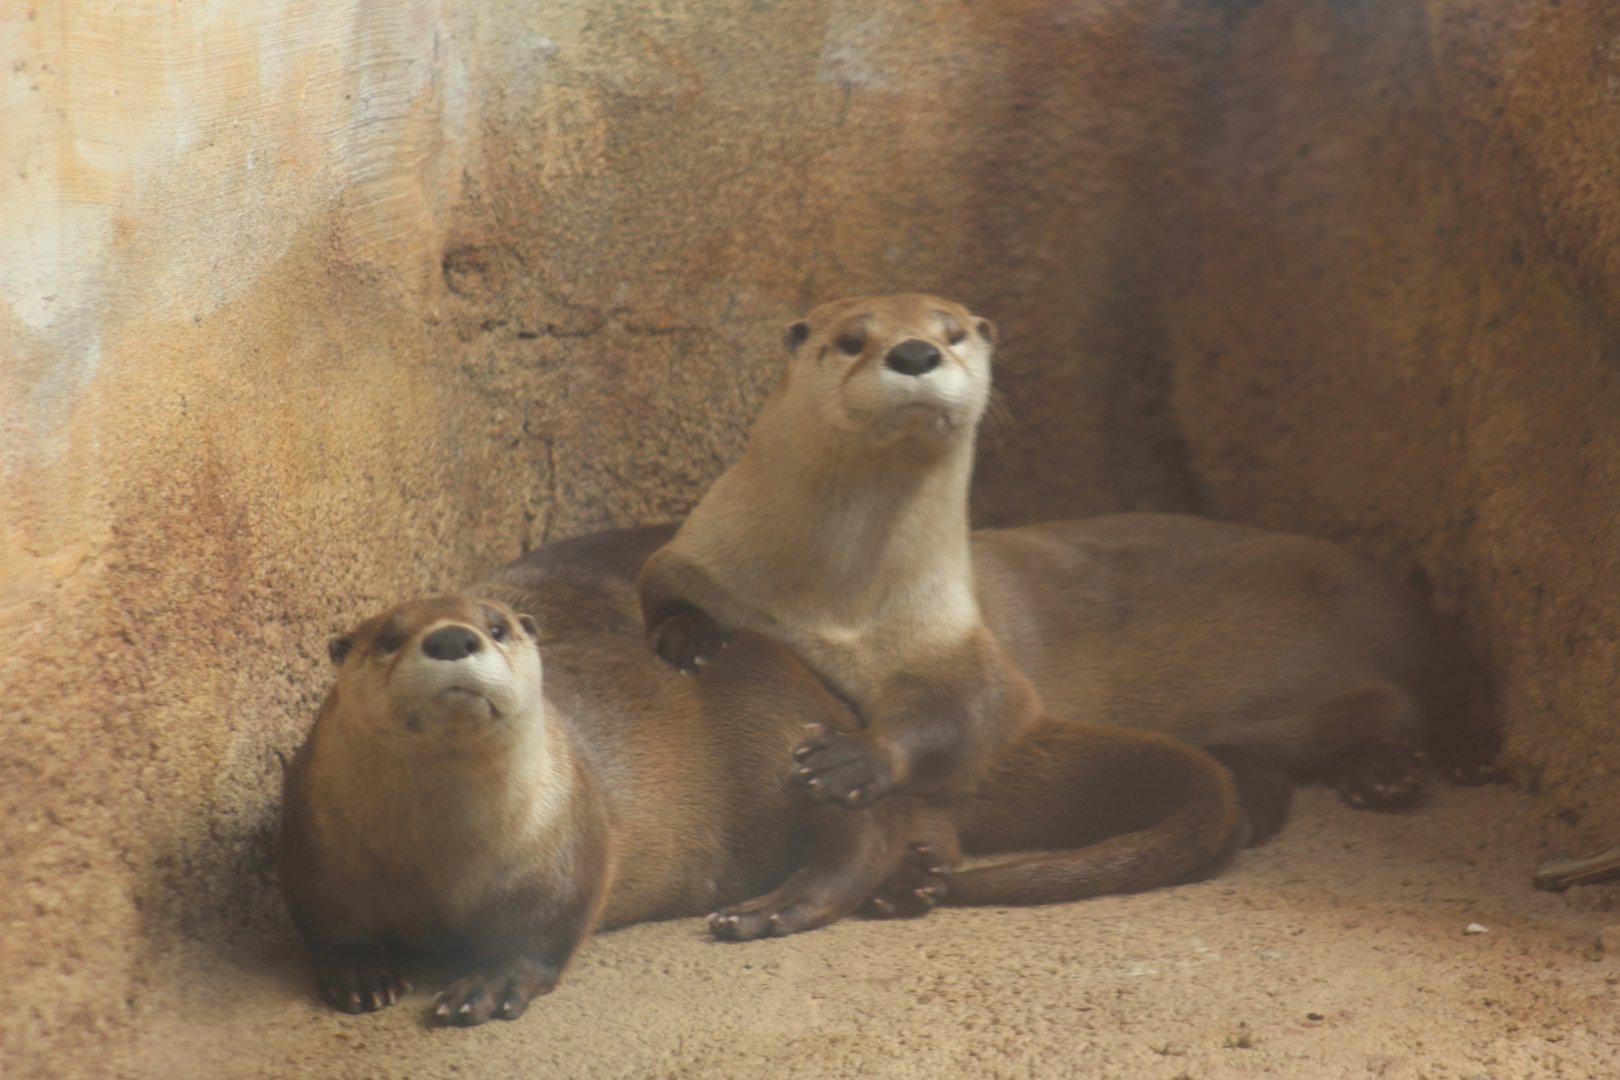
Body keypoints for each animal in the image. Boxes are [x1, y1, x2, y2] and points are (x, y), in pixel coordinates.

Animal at [279, 526, 1244, 1026]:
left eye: (499, 626)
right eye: (387, 636)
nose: (451, 637)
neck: (444, 855)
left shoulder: (572, 834)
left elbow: (545, 924)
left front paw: (489, 984)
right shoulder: (317, 841)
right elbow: (329, 918)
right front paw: (361, 976)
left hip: (781, 734)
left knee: (868, 821)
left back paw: (779, 907)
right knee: (926, 820)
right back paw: (913, 886)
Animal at [638, 294, 1497, 835]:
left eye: (953, 331)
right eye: (853, 338)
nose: (915, 351)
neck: (833, 599)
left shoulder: (953, 632)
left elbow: (979, 710)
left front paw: (853, 759)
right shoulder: (697, 554)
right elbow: (659, 587)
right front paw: (692, 640)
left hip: (1370, 597)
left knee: (1459, 668)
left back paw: (1463, 755)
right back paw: (1383, 772)